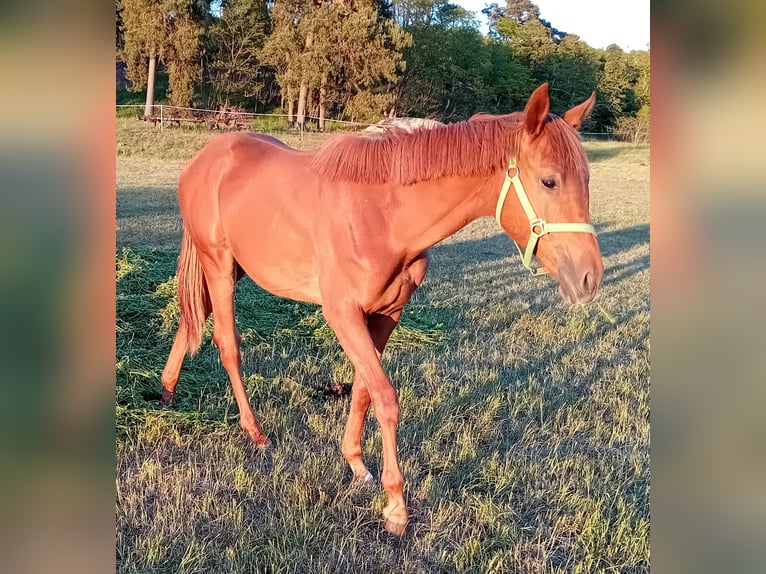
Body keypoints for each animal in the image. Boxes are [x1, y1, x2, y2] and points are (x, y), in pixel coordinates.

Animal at [159, 83, 603, 536]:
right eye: (549, 180)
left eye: (586, 179)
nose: (589, 277)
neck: (382, 215)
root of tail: (205, 159)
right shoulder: (341, 314)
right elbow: (386, 398)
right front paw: (395, 506)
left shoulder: (387, 314)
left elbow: (362, 391)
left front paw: (356, 465)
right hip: (219, 265)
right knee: (227, 343)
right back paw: (256, 433)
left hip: (234, 270)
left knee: (191, 319)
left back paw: (167, 390)